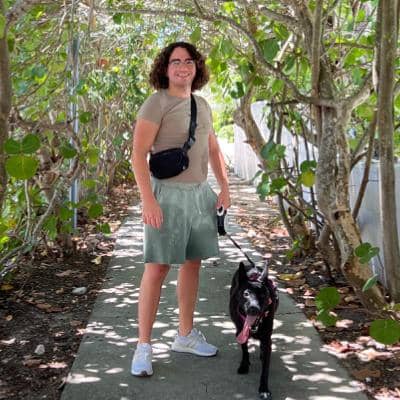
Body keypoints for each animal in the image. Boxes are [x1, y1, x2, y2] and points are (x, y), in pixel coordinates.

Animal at [229, 261, 279, 400]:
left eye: (262, 295)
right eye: (246, 294)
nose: (253, 308)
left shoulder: (267, 338)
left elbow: (265, 369)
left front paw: (264, 389)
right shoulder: (240, 331)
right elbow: (245, 350)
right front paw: (244, 365)